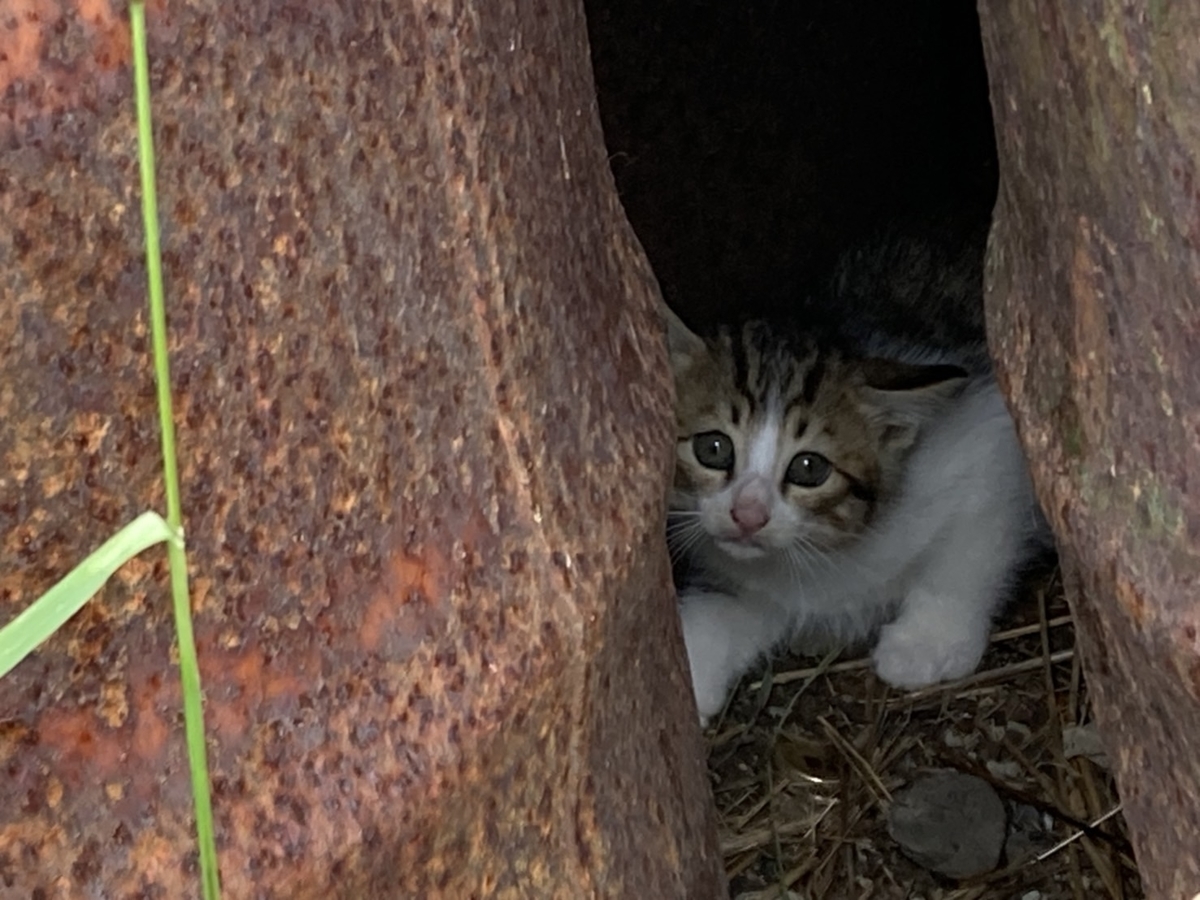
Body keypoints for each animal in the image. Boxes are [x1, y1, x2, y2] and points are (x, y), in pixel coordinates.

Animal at [665, 231, 1049, 722]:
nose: (747, 516)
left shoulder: (995, 439)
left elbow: (971, 551)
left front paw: (929, 639)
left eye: (809, 468)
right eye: (713, 449)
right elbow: (715, 611)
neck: (828, 552)